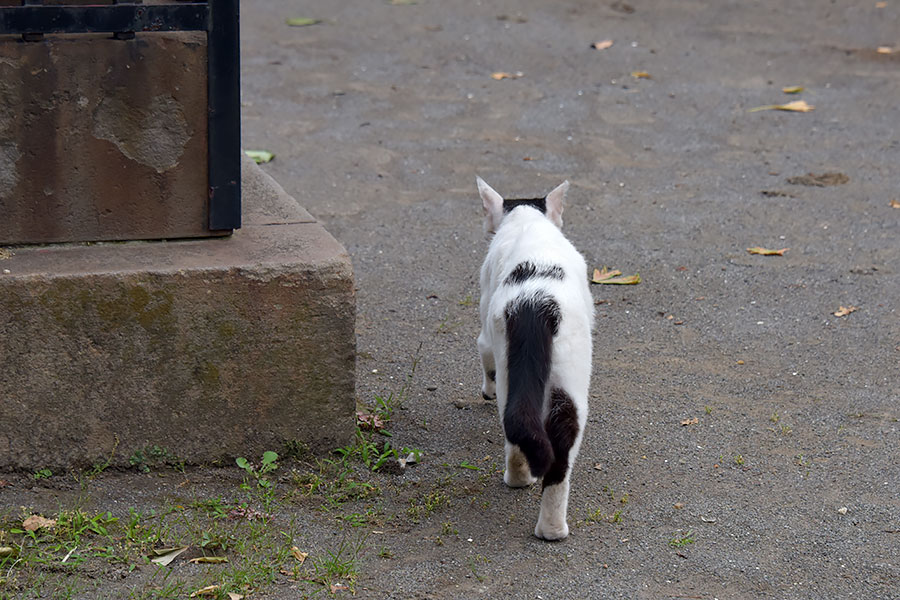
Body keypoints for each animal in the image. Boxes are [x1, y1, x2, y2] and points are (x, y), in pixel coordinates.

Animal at [474, 176, 596, 540]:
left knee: (515, 425)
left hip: (514, 371)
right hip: (568, 385)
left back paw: (519, 481)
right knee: (559, 452)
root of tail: (535, 303)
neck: (528, 221)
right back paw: (552, 528)